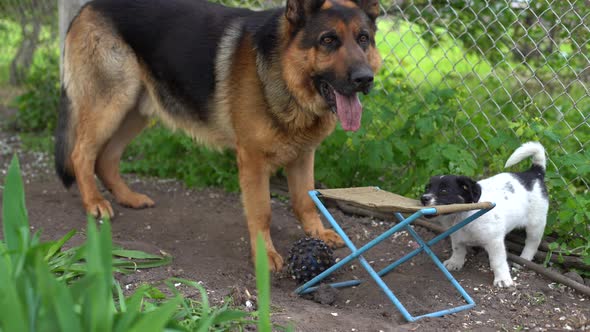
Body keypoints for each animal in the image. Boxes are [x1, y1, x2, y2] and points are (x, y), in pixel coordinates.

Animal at [56, 0, 384, 272]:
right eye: (328, 40)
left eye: (363, 39)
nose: (364, 79)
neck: (284, 74)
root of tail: (88, 6)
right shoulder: (252, 161)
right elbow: (262, 211)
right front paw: (265, 255)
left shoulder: (303, 155)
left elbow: (305, 199)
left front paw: (317, 233)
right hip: (111, 103)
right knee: (81, 153)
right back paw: (94, 203)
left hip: (136, 110)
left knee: (107, 157)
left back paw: (128, 198)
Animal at [420, 141, 552, 286]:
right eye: (427, 188)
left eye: (444, 191)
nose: (423, 198)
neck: (463, 215)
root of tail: (534, 173)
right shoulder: (456, 236)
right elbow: (458, 249)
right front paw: (455, 262)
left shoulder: (494, 241)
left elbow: (497, 261)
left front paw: (502, 279)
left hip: (536, 224)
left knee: (532, 243)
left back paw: (524, 259)